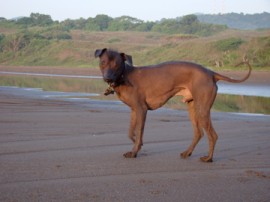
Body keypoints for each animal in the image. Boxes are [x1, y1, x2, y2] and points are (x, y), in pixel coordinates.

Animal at [95, 48, 251, 162]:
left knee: (213, 135)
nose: (107, 77)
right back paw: (187, 153)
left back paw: (208, 158)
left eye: (116, 64)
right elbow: (131, 132)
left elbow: (139, 132)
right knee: (199, 133)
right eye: (103, 62)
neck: (124, 75)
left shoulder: (142, 110)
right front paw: (136, 143)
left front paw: (134, 152)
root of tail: (211, 73)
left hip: (202, 110)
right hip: (193, 109)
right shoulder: (134, 110)